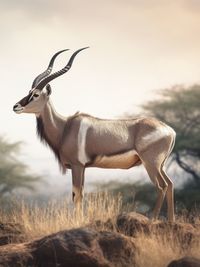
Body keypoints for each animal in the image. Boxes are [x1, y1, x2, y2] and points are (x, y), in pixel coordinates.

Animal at [12, 47, 176, 222]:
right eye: (29, 92)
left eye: (35, 94)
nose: (16, 106)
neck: (65, 126)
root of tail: (170, 130)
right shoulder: (83, 167)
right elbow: (79, 194)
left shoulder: (77, 166)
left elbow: (77, 195)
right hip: (160, 165)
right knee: (170, 184)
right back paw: (171, 221)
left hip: (151, 164)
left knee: (162, 186)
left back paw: (153, 220)